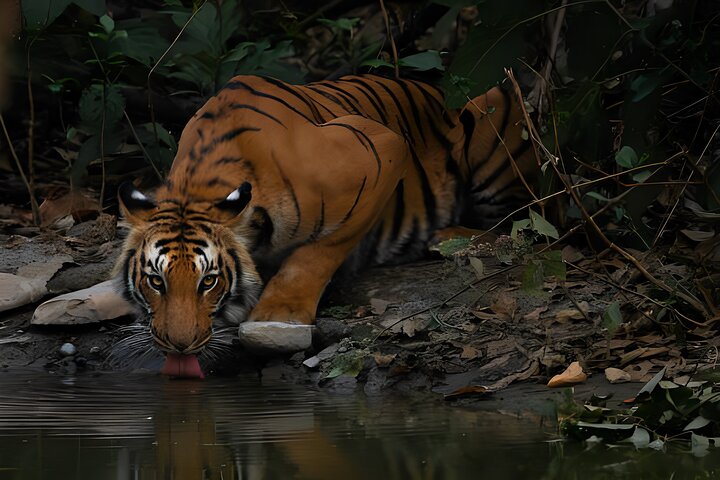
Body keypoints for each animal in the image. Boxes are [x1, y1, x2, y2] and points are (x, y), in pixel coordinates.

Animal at [116, 74, 534, 376]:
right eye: (156, 281)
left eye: (208, 282)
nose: (178, 345)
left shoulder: (382, 151)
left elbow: (319, 252)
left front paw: (279, 313)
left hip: (497, 110)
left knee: (523, 222)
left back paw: (449, 238)